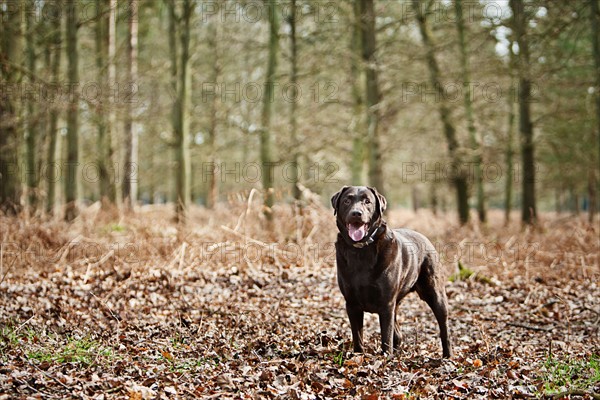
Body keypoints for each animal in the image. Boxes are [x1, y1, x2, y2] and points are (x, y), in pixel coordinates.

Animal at [330, 186, 452, 358]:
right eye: (347, 200)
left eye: (367, 201)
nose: (356, 213)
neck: (361, 250)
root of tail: (426, 239)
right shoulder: (352, 304)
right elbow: (358, 337)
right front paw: (358, 357)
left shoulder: (386, 304)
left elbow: (386, 337)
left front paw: (385, 358)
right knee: (398, 334)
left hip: (435, 293)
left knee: (444, 326)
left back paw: (447, 355)